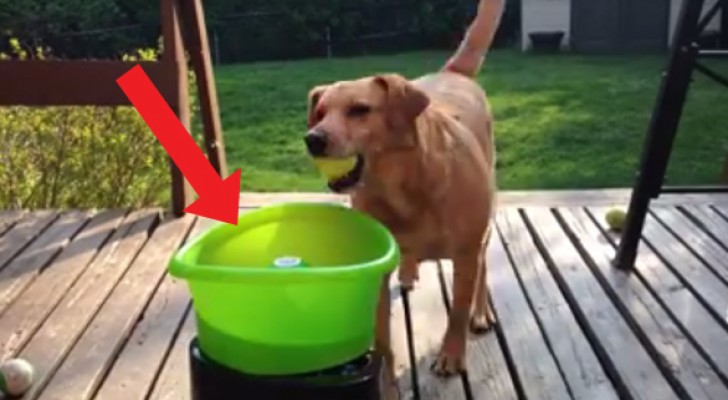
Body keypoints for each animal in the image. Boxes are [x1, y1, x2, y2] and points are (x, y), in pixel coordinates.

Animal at [304, 0, 504, 376]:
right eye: (320, 112)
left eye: (360, 110)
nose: (313, 139)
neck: (403, 188)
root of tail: (453, 73)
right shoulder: (378, 266)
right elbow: (381, 331)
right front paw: (385, 374)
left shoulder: (466, 253)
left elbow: (457, 310)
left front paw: (452, 352)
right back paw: (409, 270)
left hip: (485, 221)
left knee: (484, 265)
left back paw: (481, 311)